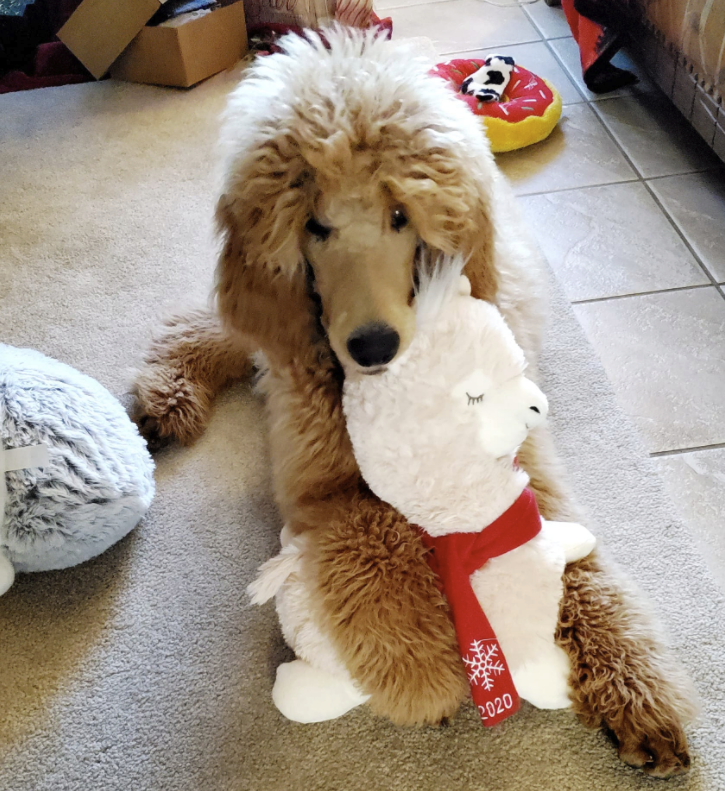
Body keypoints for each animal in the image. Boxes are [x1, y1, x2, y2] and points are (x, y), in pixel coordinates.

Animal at [133, 27, 694, 777]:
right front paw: (417, 667)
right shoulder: (315, 474)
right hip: (261, 335)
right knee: (204, 326)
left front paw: (637, 690)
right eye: (314, 224)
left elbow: (583, 569)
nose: (372, 346)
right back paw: (164, 394)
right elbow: (363, 529)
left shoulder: (526, 471)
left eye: (401, 215)